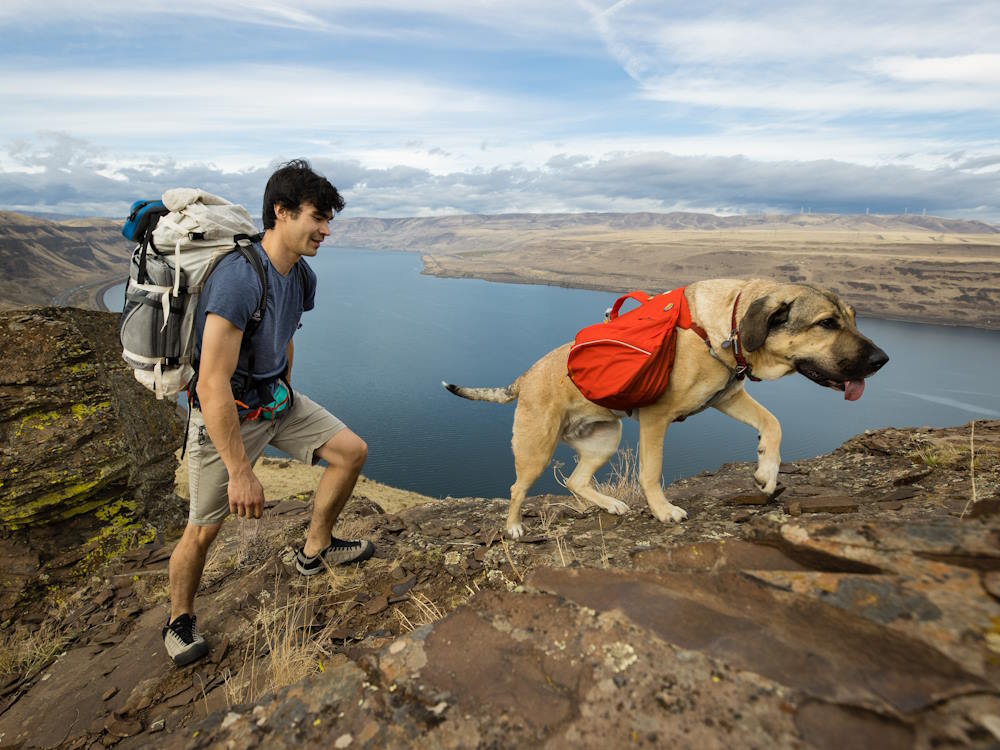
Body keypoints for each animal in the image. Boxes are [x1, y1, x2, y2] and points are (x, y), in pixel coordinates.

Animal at [446, 280, 892, 536]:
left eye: (853, 318)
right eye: (827, 323)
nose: (882, 360)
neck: (723, 329)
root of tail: (524, 377)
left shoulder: (727, 397)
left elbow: (774, 423)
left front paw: (767, 471)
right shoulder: (656, 419)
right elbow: (651, 472)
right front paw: (663, 512)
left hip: (604, 438)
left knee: (575, 481)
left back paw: (609, 504)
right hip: (536, 447)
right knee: (517, 488)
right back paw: (514, 528)